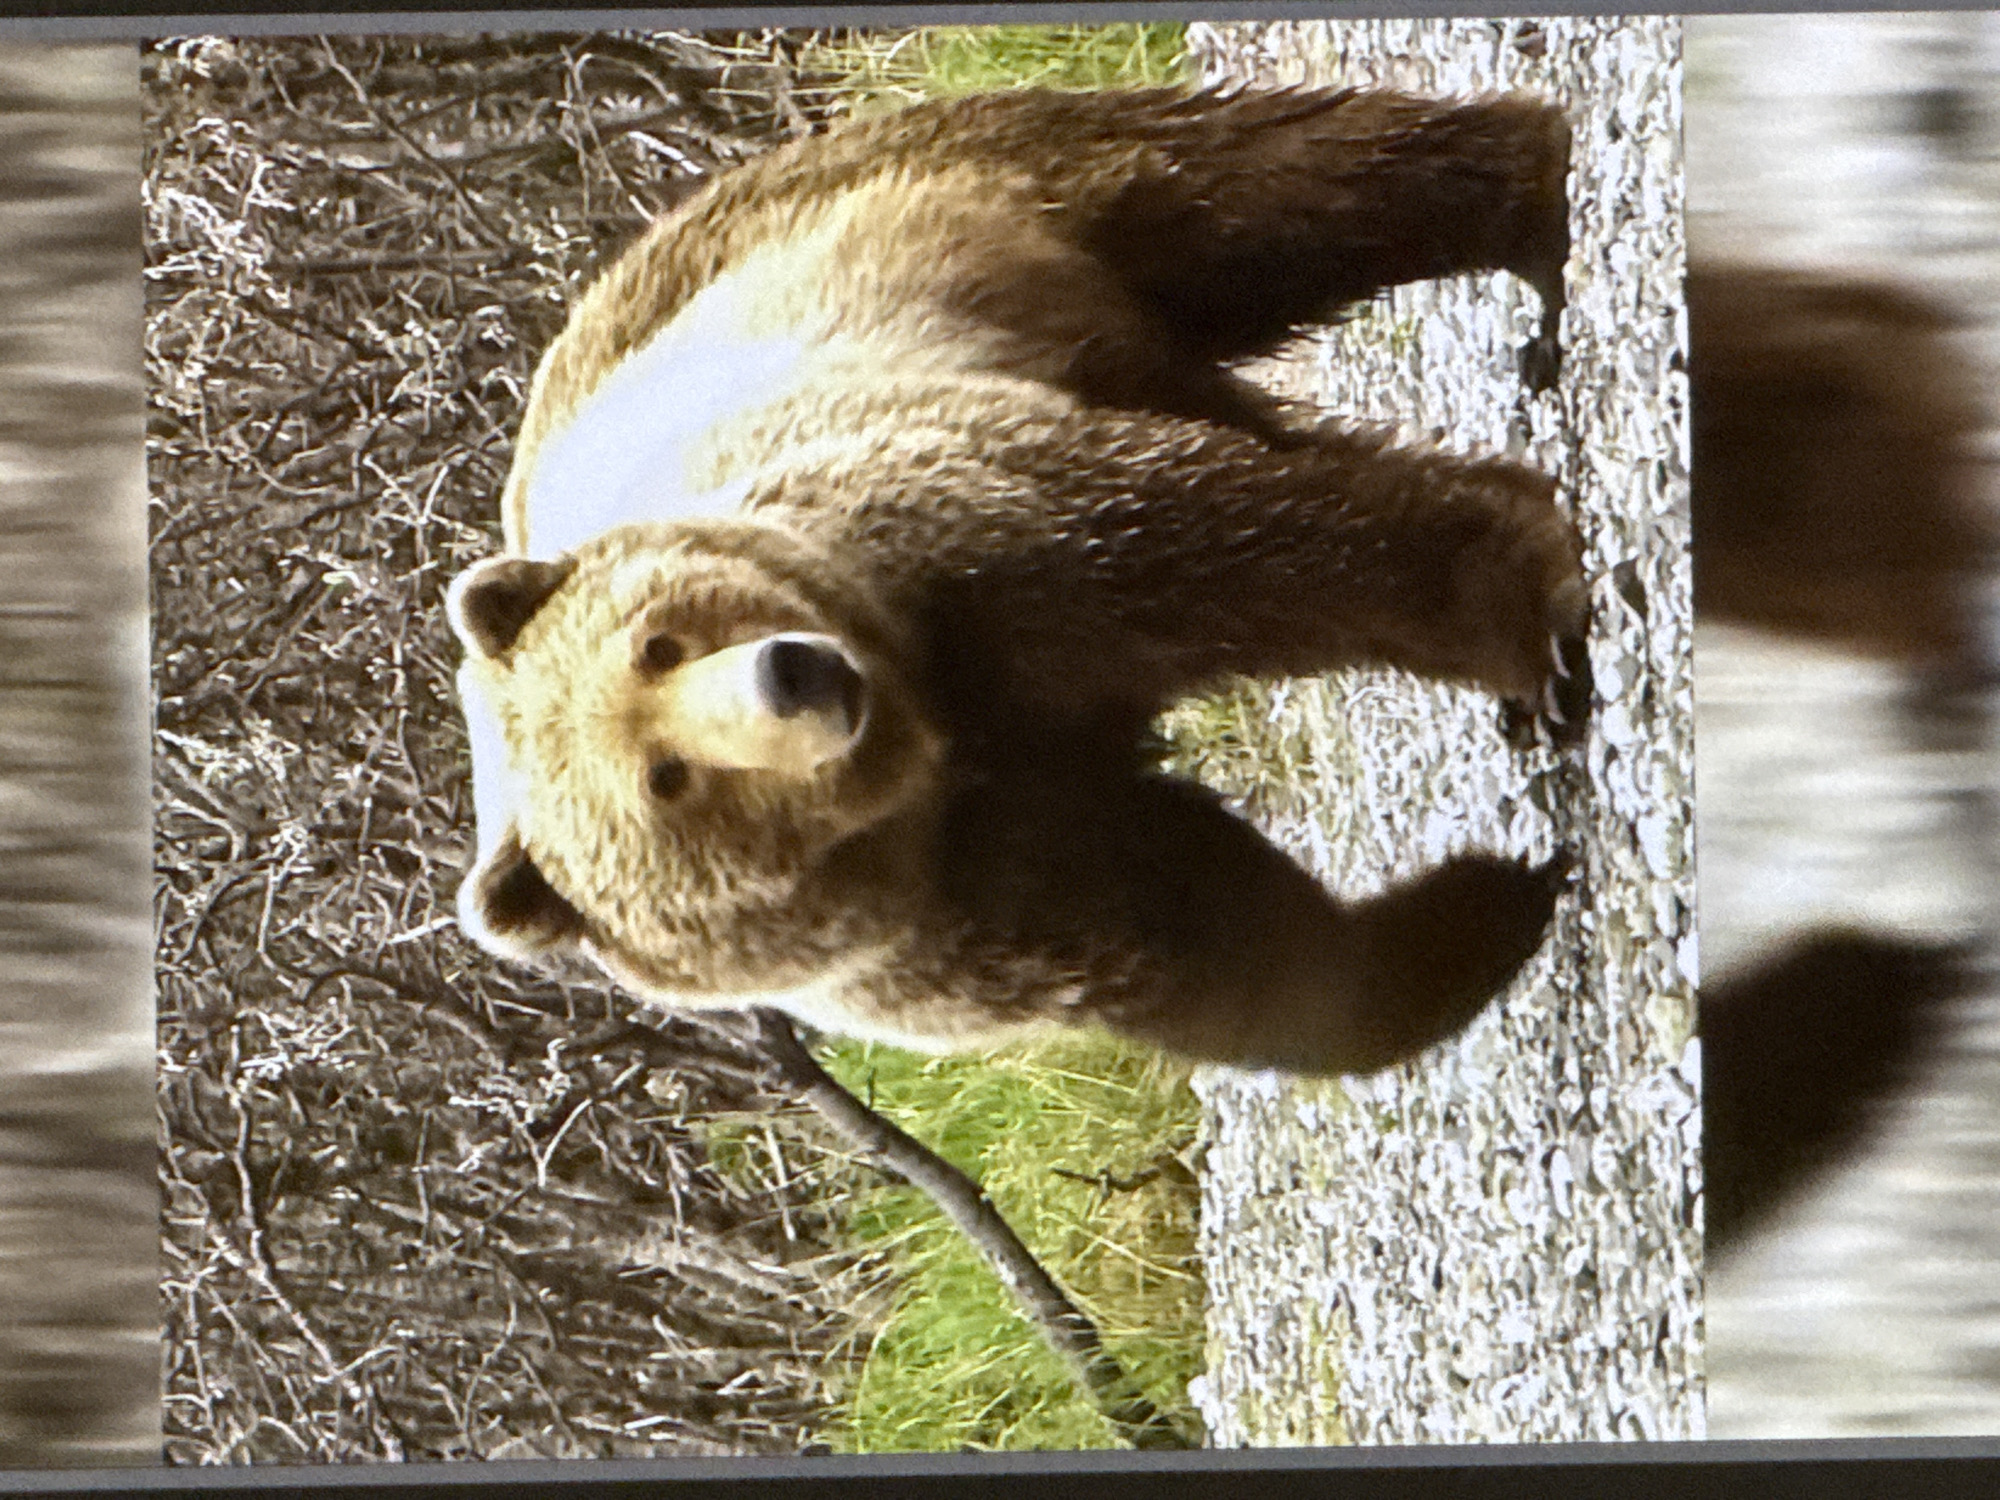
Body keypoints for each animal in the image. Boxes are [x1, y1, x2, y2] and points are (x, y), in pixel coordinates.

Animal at [445, 85, 1590, 1077]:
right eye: (666, 779)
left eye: (659, 643)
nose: (789, 674)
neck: (926, 724)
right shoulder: (957, 906)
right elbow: (1207, 935)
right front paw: (1475, 912)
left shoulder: (952, 541)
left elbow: (1218, 545)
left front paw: (1525, 618)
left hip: (953, 203)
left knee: (1263, 190)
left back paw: (1532, 204)